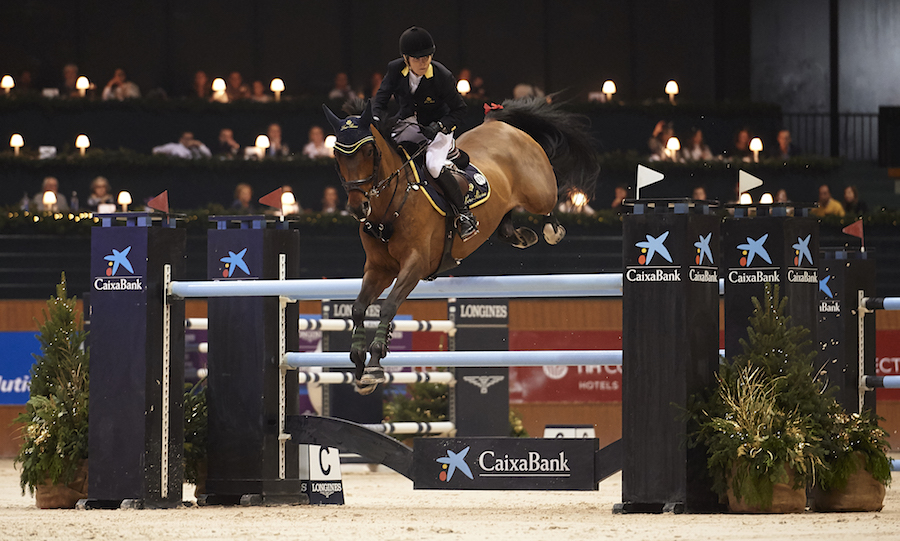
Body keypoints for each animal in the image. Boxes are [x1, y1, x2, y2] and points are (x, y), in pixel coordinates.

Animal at [324, 97, 596, 392]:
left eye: (369, 151)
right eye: (337, 155)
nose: (357, 207)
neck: (390, 206)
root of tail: (500, 124)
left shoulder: (416, 264)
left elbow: (388, 306)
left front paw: (374, 365)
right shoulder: (379, 269)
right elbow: (358, 307)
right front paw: (358, 362)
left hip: (538, 192)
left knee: (548, 206)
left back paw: (550, 230)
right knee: (505, 222)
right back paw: (520, 236)